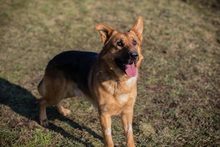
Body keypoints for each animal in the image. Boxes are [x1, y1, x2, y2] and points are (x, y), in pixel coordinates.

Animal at [37, 16, 144, 146]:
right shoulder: (104, 115)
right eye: (119, 44)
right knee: (42, 101)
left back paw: (62, 111)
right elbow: (108, 138)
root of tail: (52, 60)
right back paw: (43, 120)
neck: (118, 80)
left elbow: (129, 135)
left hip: (66, 93)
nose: (134, 55)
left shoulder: (127, 112)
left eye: (135, 42)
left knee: (51, 101)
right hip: (57, 93)